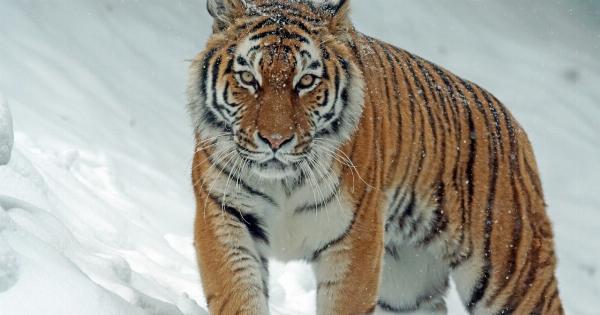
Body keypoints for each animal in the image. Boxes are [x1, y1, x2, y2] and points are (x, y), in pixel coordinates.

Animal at [186, 0, 564, 314]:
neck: (285, 182)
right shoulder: (225, 215)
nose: (275, 140)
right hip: (406, 287)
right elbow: (238, 295)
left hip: (512, 275)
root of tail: (514, 126)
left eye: (306, 81)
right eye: (248, 77)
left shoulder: (356, 240)